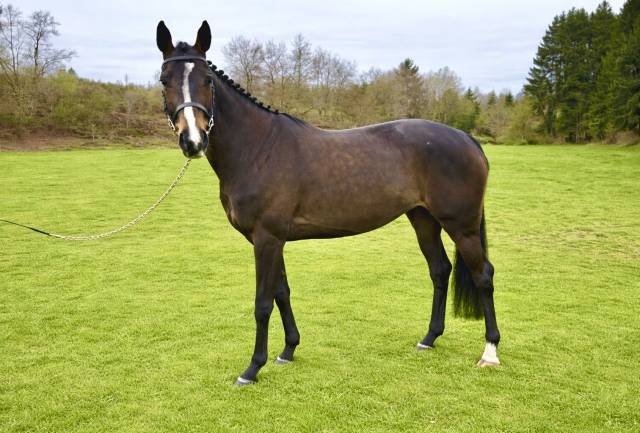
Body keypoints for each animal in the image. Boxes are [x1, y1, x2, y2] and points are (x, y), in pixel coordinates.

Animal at [156, 20, 501, 386]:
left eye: (207, 80)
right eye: (165, 80)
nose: (193, 141)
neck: (259, 148)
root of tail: (466, 138)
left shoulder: (267, 238)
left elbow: (263, 303)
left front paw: (252, 368)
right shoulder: (272, 239)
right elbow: (282, 292)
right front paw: (288, 351)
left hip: (462, 227)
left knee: (483, 275)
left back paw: (490, 352)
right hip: (423, 219)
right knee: (439, 270)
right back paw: (429, 338)